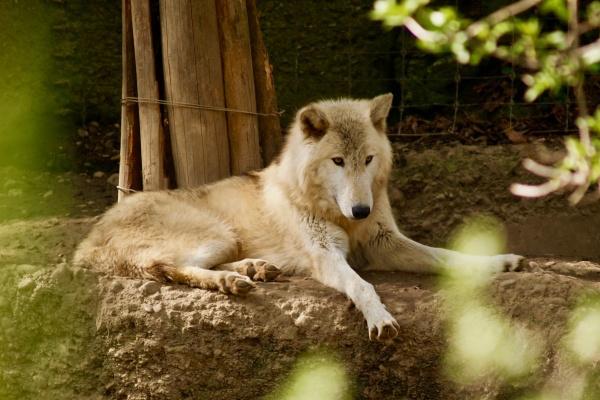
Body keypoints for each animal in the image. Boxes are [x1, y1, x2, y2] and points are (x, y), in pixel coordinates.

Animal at [75, 94, 524, 340]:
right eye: (338, 161)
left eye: (368, 159)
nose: (361, 210)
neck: (339, 215)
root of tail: (86, 242)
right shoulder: (327, 256)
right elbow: (362, 286)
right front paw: (379, 317)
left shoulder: (385, 243)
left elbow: (448, 256)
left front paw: (500, 262)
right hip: (216, 234)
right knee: (167, 267)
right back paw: (233, 281)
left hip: (223, 241)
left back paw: (254, 269)